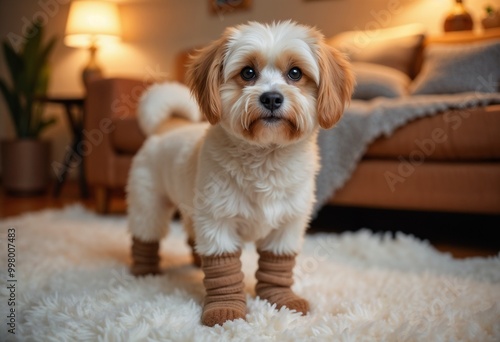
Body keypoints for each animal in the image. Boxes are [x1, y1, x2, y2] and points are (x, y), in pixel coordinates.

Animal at [129, 20, 356, 326]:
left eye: (295, 73)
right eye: (248, 72)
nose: (271, 98)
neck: (265, 159)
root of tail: (166, 128)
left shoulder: (287, 227)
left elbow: (277, 269)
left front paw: (280, 300)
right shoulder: (218, 225)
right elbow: (224, 272)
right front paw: (226, 311)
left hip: (191, 209)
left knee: (191, 234)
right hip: (148, 205)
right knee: (145, 237)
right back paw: (144, 275)